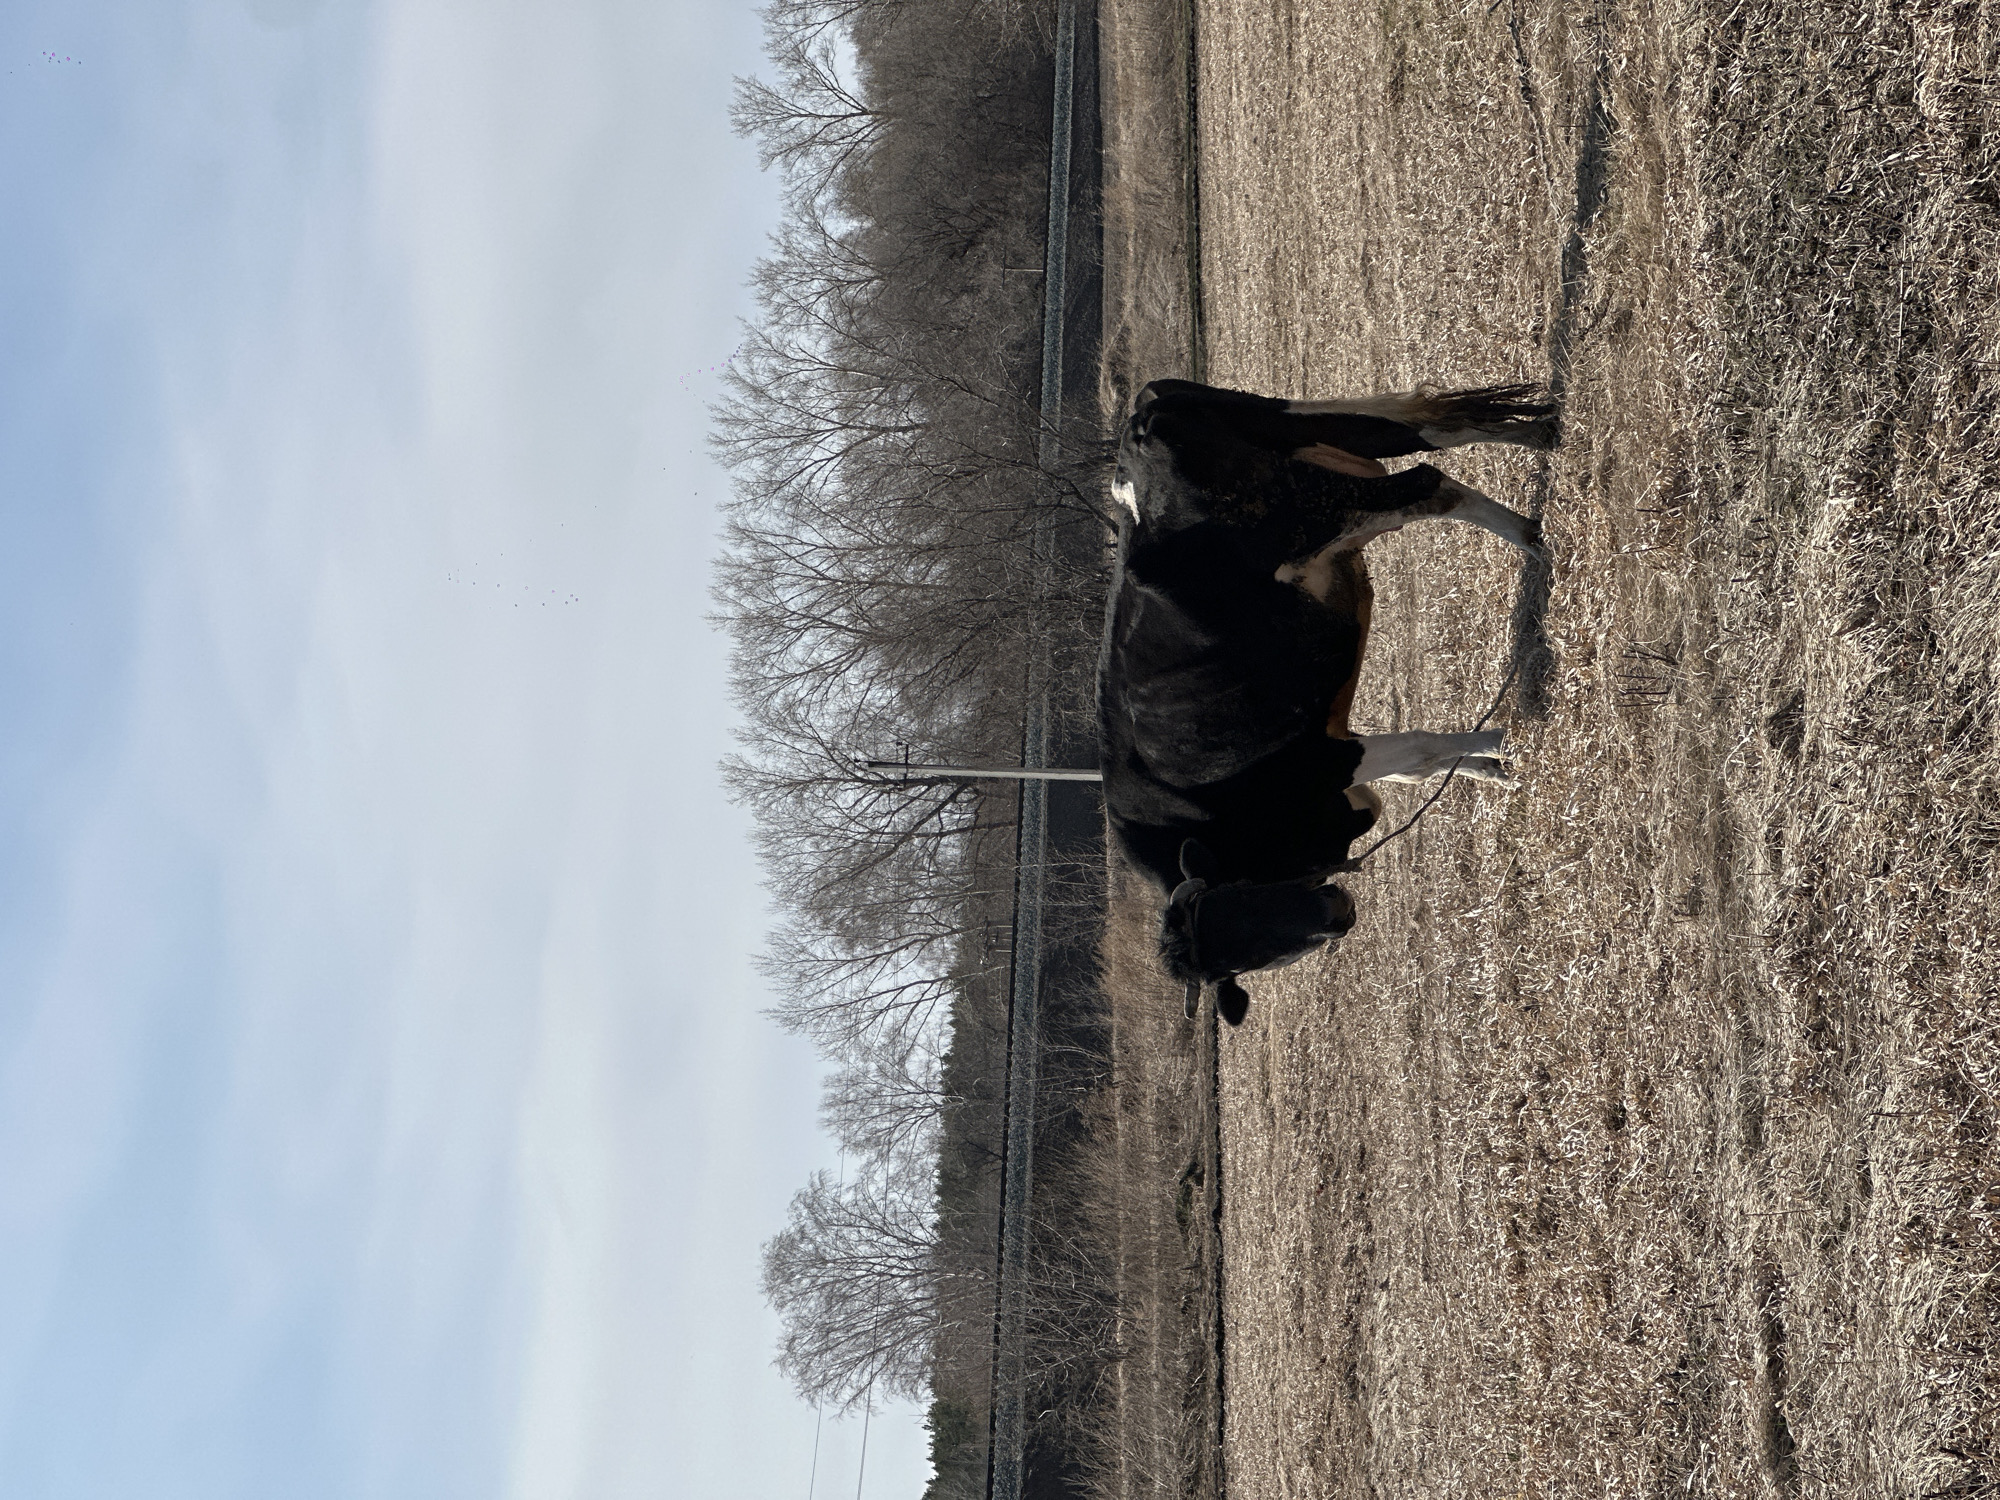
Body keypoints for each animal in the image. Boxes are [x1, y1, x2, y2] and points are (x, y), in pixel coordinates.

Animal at [1098, 378, 1556, 1024]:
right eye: (1254, 959)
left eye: (1242, 900)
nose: (1335, 915)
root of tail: (1139, 425)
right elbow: (1423, 768)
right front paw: (1490, 766)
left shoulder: (1320, 760)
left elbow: (1419, 751)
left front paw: (1500, 742)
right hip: (1311, 432)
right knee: (1424, 429)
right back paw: (1539, 438)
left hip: (1314, 505)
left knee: (1426, 483)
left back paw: (1532, 539)